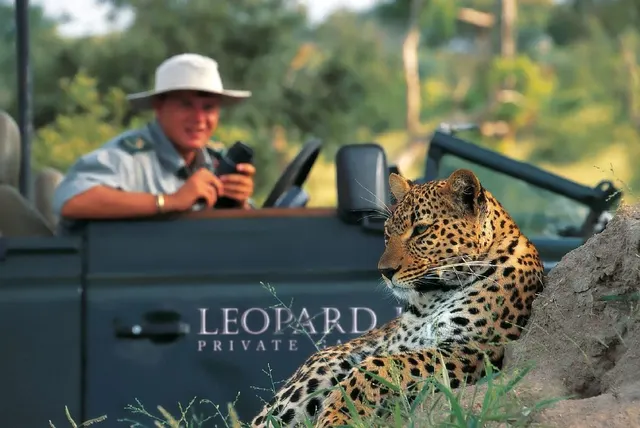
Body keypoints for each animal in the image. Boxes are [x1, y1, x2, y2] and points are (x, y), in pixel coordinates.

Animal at [250, 168, 545, 428]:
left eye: (421, 230)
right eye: (387, 232)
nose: (384, 271)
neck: (431, 299)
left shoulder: (472, 350)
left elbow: (378, 366)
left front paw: (336, 417)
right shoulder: (394, 345)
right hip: (320, 368)